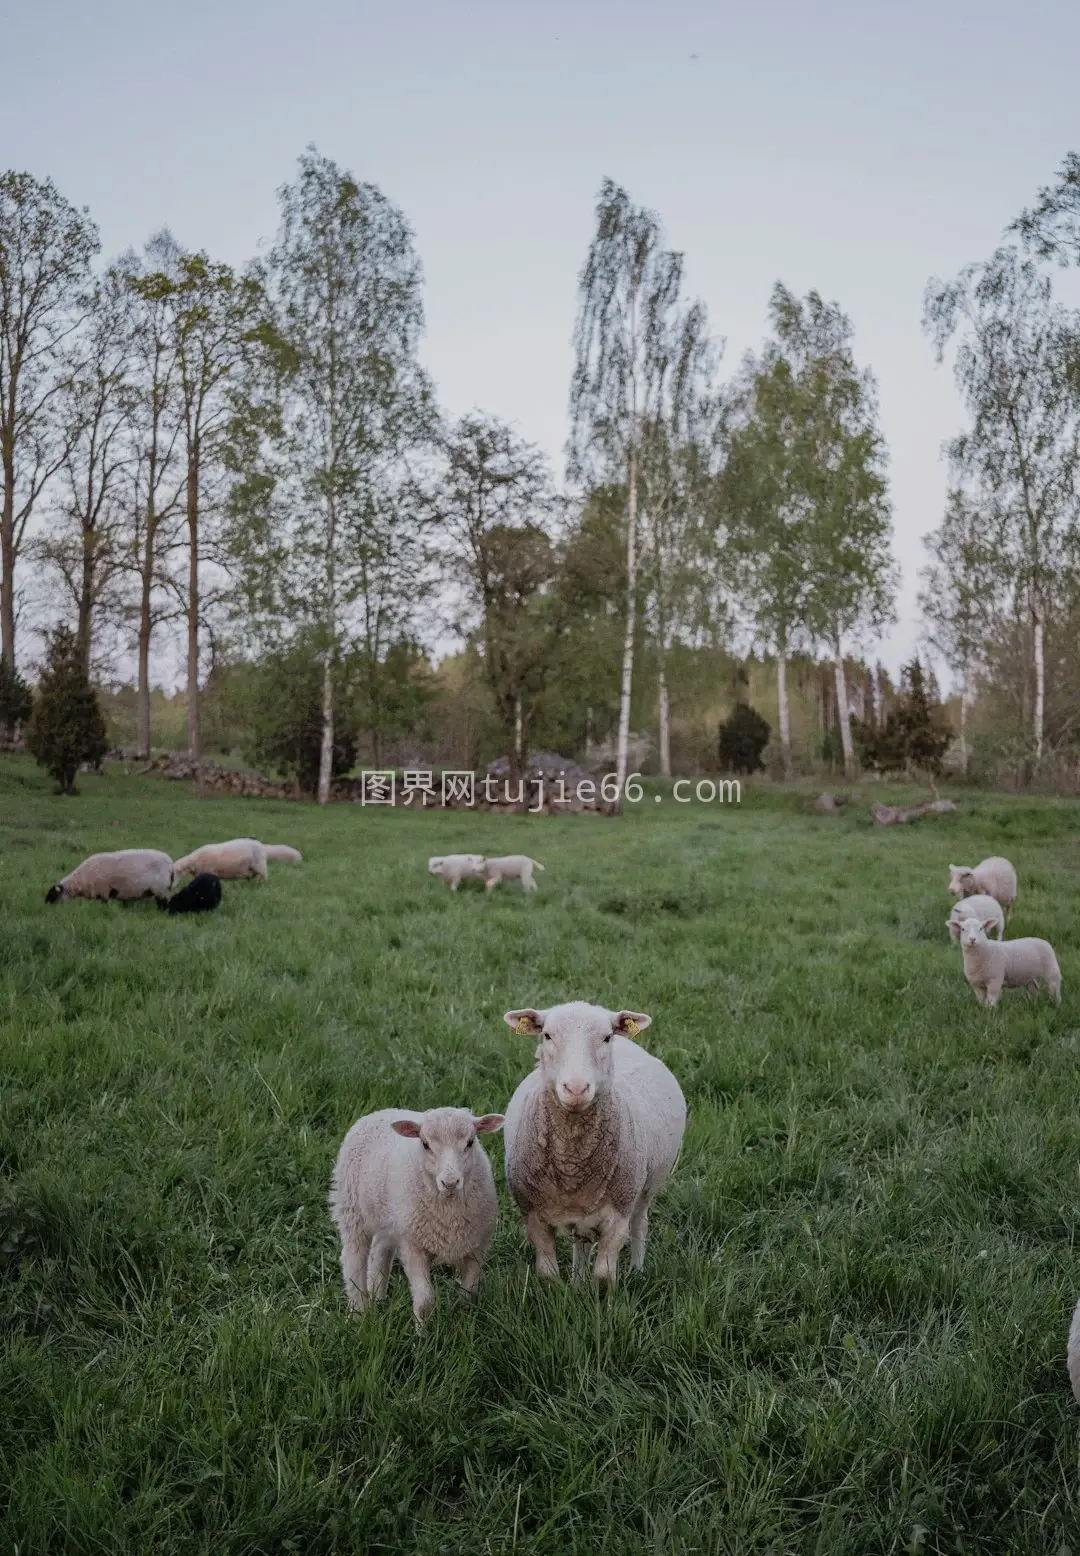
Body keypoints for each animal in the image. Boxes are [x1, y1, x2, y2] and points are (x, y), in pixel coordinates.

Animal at [44, 846, 174, 908]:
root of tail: (170, 864)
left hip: (161, 889)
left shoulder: (104, 891)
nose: (45, 906)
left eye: (52, 894)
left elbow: (105, 903)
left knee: (163, 904)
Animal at [328, 1107, 504, 1325]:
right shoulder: (413, 1247)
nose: (450, 1182)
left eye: (470, 1142)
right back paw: (357, 1312)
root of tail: (380, 1111)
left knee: (380, 1251)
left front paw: (465, 1319)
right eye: (425, 1144)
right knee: (354, 1257)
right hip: (351, 1207)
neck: (449, 1213)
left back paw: (378, 1298)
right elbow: (425, 1302)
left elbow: (468, 1293)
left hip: (390, 1219)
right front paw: (422, 1332)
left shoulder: (477, 1247)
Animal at [504, 995, 690, 1288]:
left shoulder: (618, 1217)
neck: (572, 1165)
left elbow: (604, 1276)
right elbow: (548, 1275)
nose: (576, 1088)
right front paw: (560, 1293)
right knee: (581, 1242)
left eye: (606, 1037)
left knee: (640, 1225)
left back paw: (637, 1271)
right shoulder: (534, 1217)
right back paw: (578, 1279)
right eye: (547, 1035)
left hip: (646, 1186)